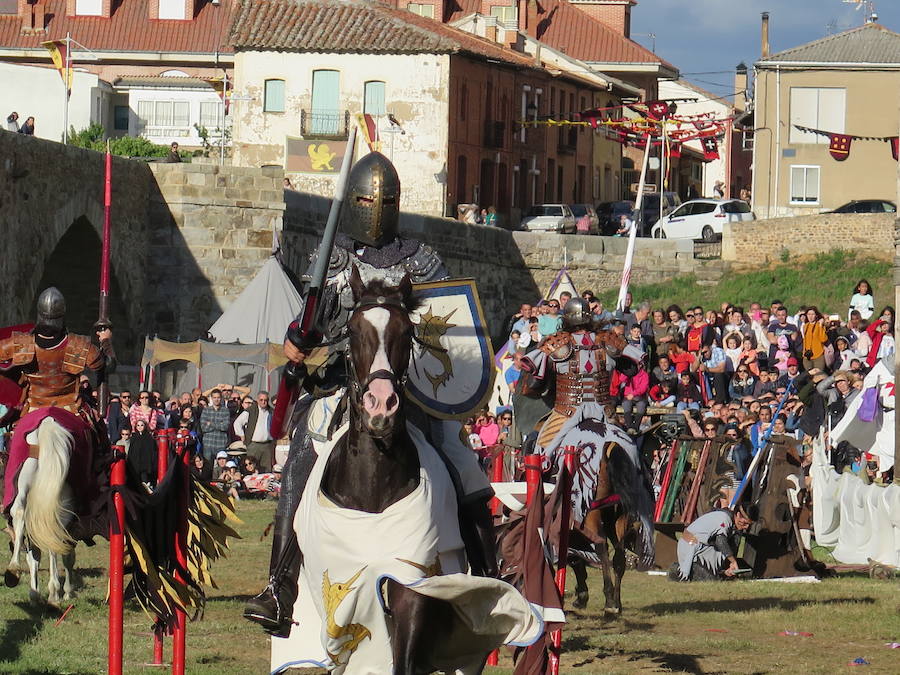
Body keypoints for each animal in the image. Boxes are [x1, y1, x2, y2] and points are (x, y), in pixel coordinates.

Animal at [4, 418, 77, 608]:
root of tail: (47, 422)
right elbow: (67, 555)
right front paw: (67, 591)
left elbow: (34, 555)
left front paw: (34, 593)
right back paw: (54, 593)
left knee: (19, 511)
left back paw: (13, 570)